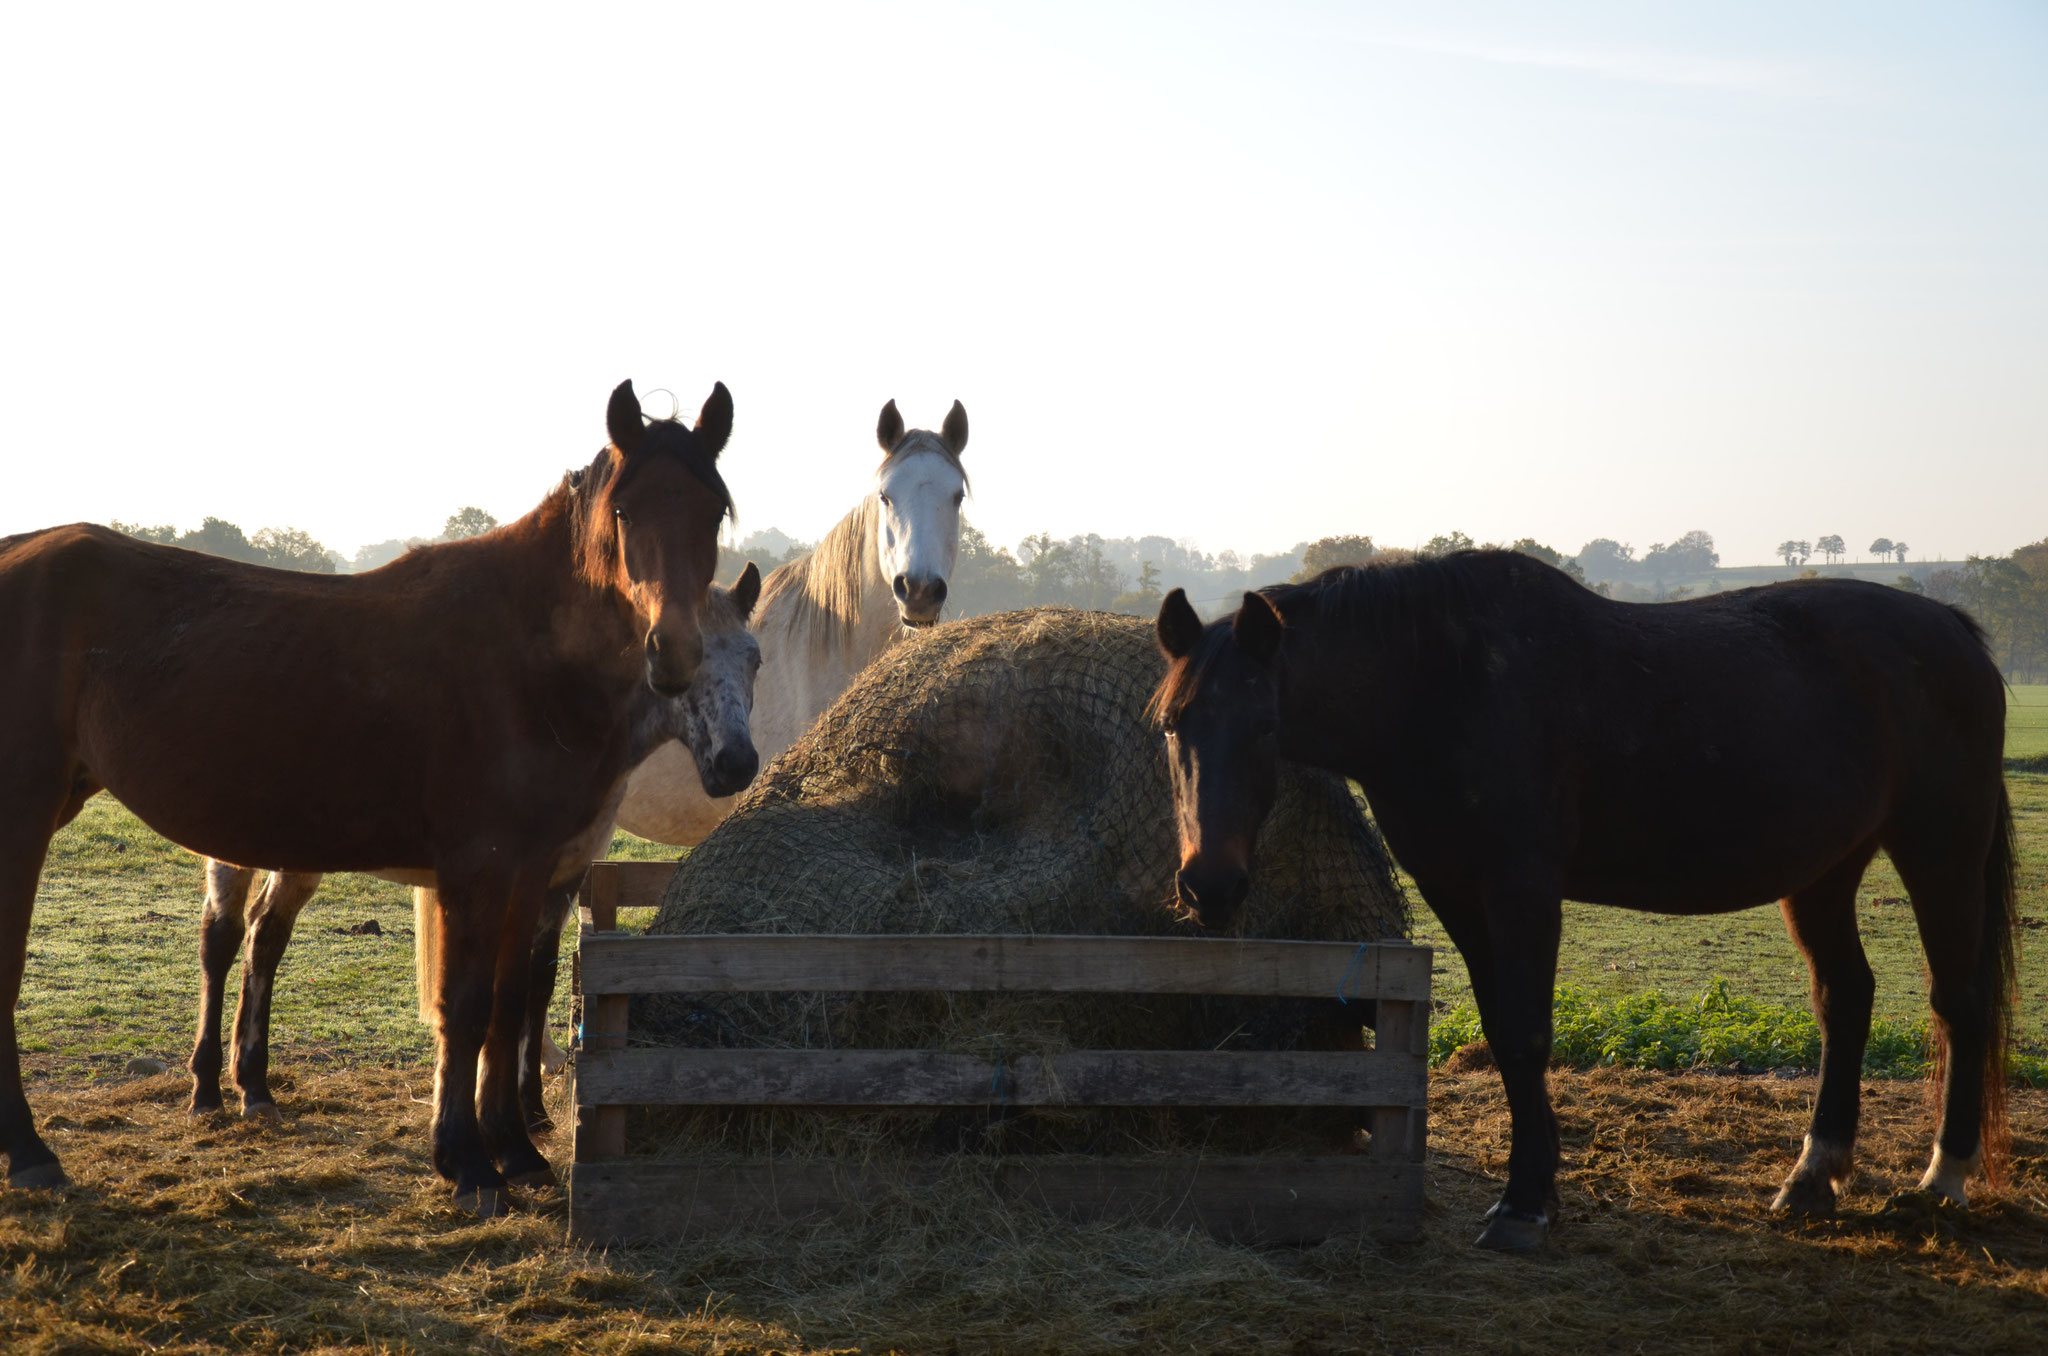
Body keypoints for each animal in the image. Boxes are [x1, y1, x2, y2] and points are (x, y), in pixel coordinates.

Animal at [0, 378, 737, 1212]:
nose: (673, 653)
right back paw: (34, 1151)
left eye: (713, 510)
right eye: (624, 512)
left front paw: (515, 1151)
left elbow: (509, 1004)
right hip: (25, 815)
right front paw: (468, 1163)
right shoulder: (479, 868)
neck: (522, 658)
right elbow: (466, 1007)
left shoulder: (530, 872)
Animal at [1155, 548, 2015, 1253]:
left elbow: (1529, 1035)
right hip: (1826, 871)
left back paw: (1941, 1182)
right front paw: (1534, 1186)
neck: (1443, 685)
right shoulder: (1458, 894)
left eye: (1265, 724)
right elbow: (1503, 1034)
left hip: (1940, 849)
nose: (1209, 886)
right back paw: (1812, 1176)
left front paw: (1525, 1206)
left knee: (1959, 1002)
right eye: (1172, 725)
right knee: (1847, 997)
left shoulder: (1522, 889)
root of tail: (1954, 630)